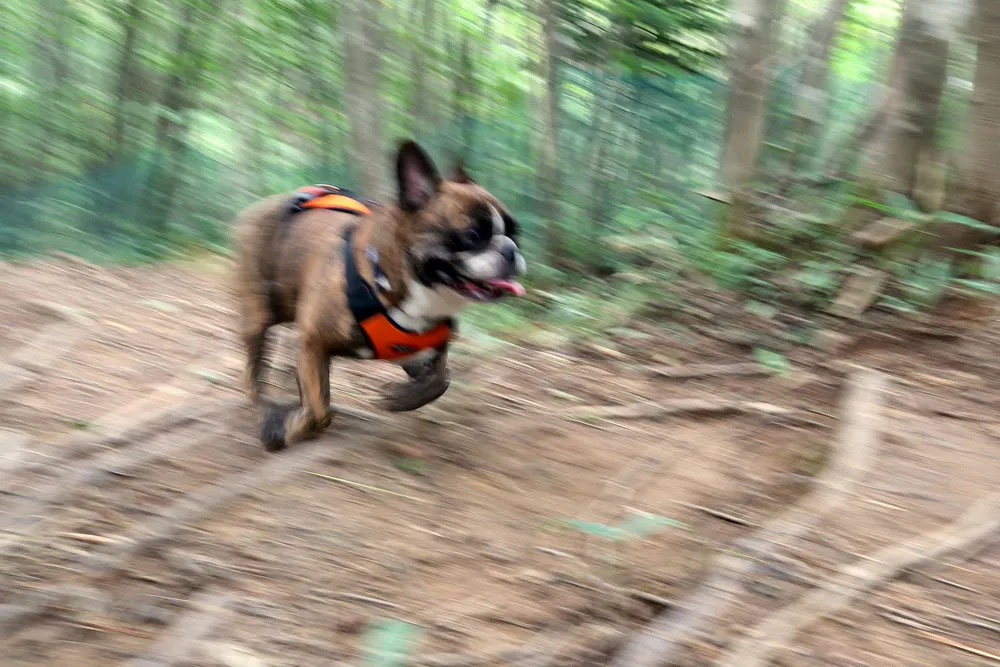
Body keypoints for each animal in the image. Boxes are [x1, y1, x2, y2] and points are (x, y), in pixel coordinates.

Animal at [230, 142, 528, 454]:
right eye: (472, 235)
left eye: (515, 232)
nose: (510, 250)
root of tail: (261, 205)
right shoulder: (314, 344)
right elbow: (320, 411)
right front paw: (287, 432)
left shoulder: (428, 349)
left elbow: (440, 380)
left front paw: (400, 397)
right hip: (258, 316)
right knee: (254, 375)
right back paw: (268, 413)